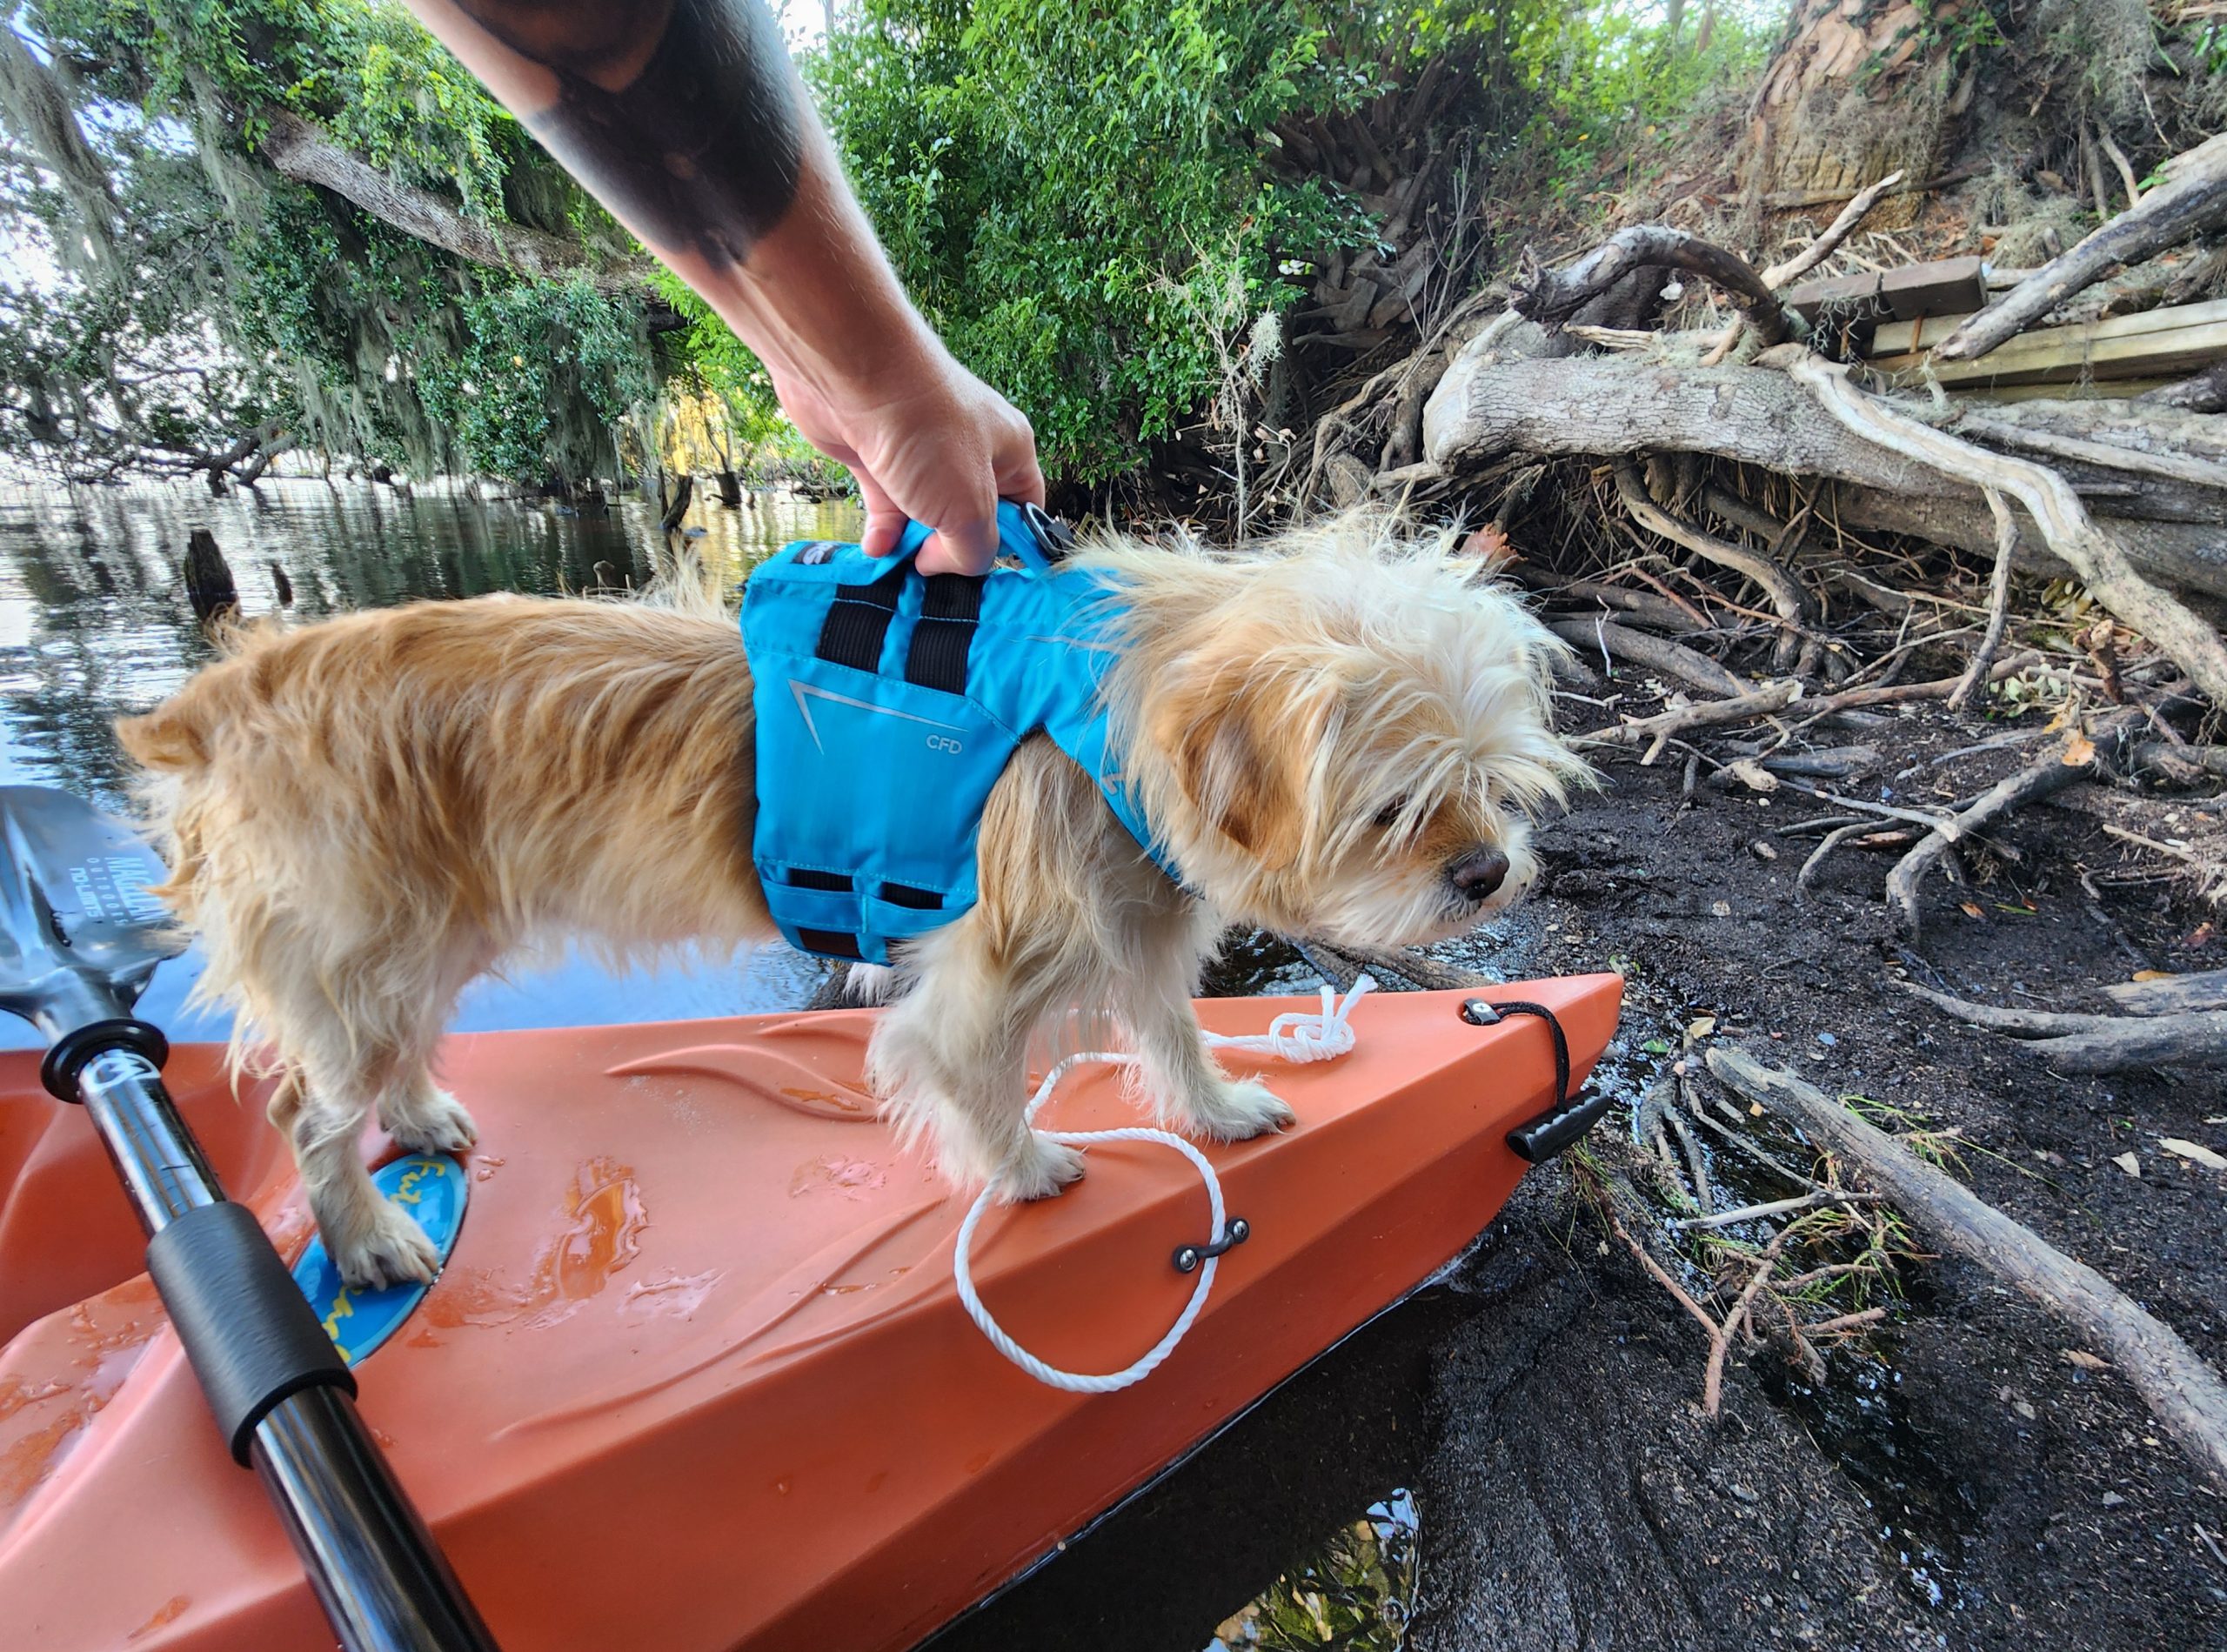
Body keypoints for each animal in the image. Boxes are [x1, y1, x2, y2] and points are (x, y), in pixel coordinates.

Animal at [117, 512, 1585, 1291]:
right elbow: (970, 1065)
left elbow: (1166, 1025)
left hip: (423, 943)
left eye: (1499, 789)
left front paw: (1217, 1107)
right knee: (308, 1111)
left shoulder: (1139, 924)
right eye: (1395, 809)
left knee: (390, 1057)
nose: (1487, 872)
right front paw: (1022, 1168)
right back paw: (368, 1235)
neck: (1116, 711)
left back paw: (420, 1115)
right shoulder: (990, 965)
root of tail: (222, 695)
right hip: (363, 957)